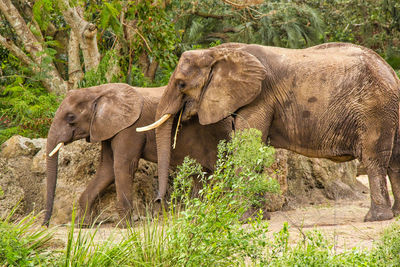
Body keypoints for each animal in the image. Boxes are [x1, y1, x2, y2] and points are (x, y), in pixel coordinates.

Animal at [43, 83, 231, 226]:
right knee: (201, 175)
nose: (45, 224)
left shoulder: (130, 128)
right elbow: (107, 168)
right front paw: (83, 225)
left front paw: (124, 226)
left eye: (70, 118)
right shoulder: (108, 127)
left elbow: (122, 166)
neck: (99, 91)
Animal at [138, 42, 400, 222]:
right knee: (395, 161)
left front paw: (241, 219)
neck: (219, 52)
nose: (158, 201)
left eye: (181, 84)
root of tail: (390, 71)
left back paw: (376, 218)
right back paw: (396, 214)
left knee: (375, 159)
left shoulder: (260, 97)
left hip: (375, 110)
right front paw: (259, 217)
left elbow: (247, 149)